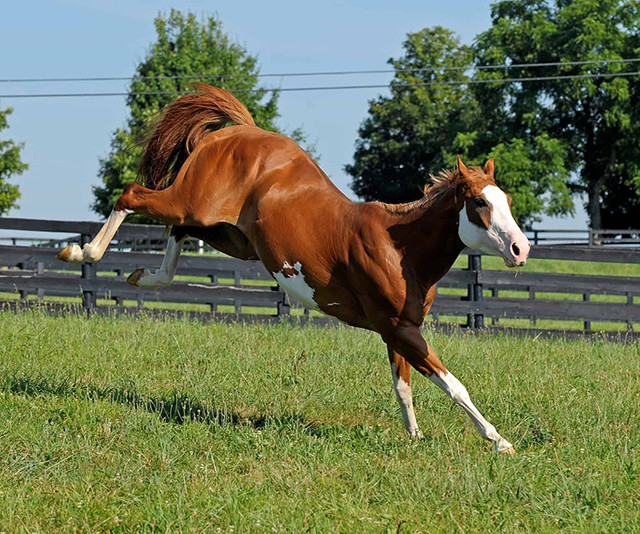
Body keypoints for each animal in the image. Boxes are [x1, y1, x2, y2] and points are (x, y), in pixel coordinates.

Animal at [58, 86, 528, 454]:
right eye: (479, 202)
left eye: (504, 198)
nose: (521, 249)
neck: (400, 248)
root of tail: (238, 131)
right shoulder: (400, 330)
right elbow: (452, 383)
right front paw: (499, 440)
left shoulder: (399, 330)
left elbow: (403, 386)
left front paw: (414, 438)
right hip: (190, 202)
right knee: (132, 195)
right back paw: (79, 252)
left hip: (227, 233)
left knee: (176, 233)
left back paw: (140, 276)